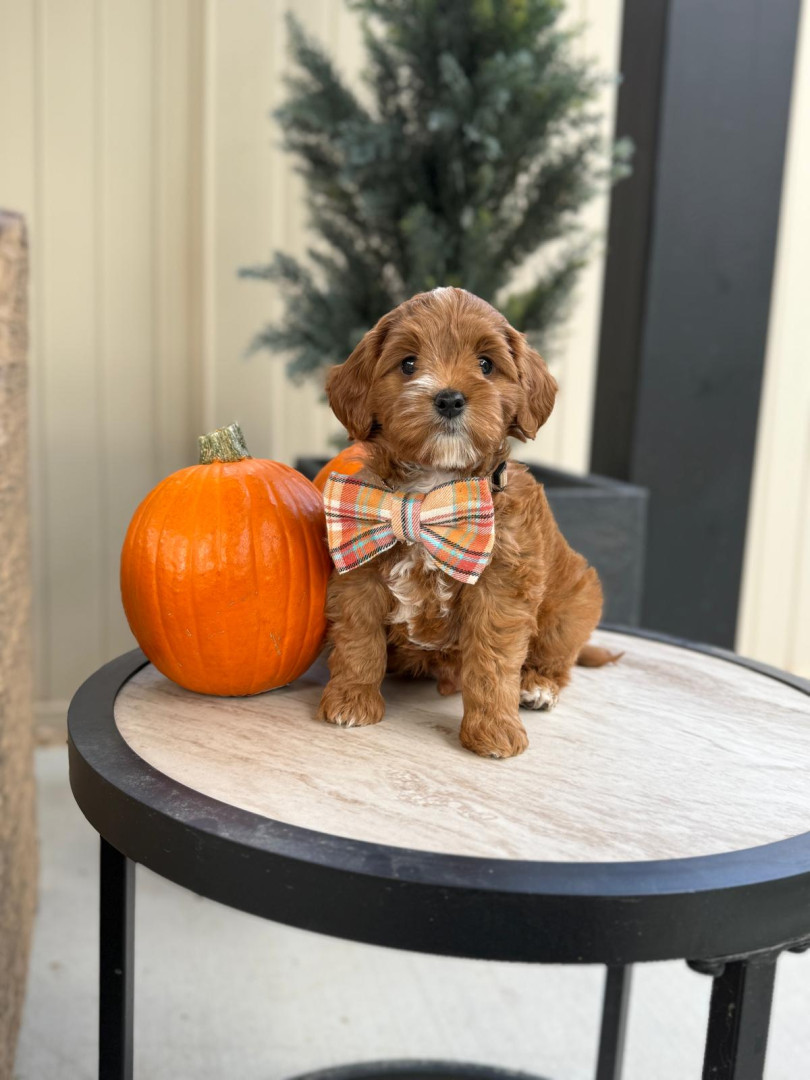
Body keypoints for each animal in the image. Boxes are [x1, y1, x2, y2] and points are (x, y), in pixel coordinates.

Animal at [318, 287, 616, 758]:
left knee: (557, 655)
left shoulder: (502, 588)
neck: (433, 492)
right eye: (408, 364)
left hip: (572, 603)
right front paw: (352, 699)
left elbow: (492, 663)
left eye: (486, 364)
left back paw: (538, 686)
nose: (449, 398)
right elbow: (358, 640)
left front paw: (493, 729)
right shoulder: (359, 571)